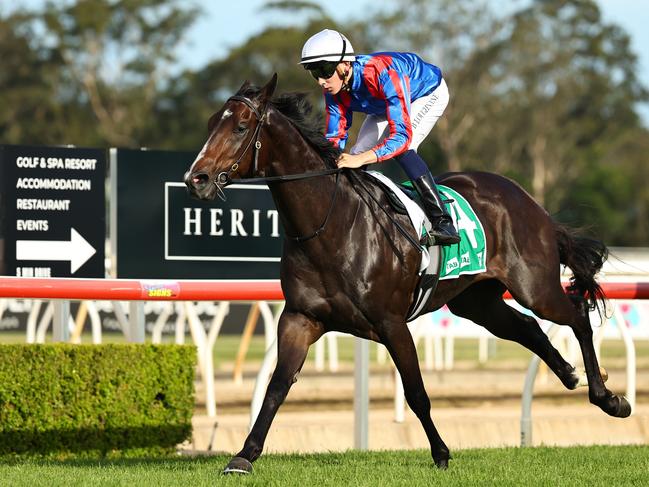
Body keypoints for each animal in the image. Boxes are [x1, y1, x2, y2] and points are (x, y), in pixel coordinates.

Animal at [182, 74, 628, 474]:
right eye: (211, 123)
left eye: (240, 127)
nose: (195, 178)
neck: (330, 224)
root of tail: (528, 199)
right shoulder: (299, 318)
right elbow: (276, 387)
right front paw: (244, 455)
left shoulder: (391, 322)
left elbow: (416, 392)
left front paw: (442, 454)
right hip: (476, 302)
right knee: (528, 328)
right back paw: (570, 375)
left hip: (534, 285)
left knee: (576, 315)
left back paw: (608, 397)